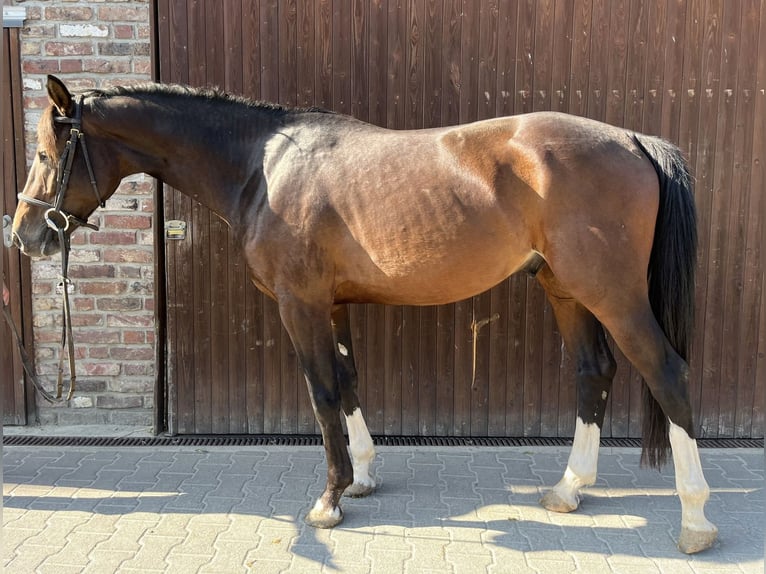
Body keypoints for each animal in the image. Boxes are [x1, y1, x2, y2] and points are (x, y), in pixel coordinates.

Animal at [10, 76, 720, 552]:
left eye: (45, 154)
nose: (25, 237)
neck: (262, 167)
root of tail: (632, 140)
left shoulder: (300, 305)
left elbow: (322, 392)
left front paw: (328, 500)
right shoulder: (334, 306)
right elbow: (348, 384)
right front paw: (362, 479)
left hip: (612, 295)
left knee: (667, 373)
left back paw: (695, 520)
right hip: (565, 290)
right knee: (594, 373)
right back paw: (571, 490)